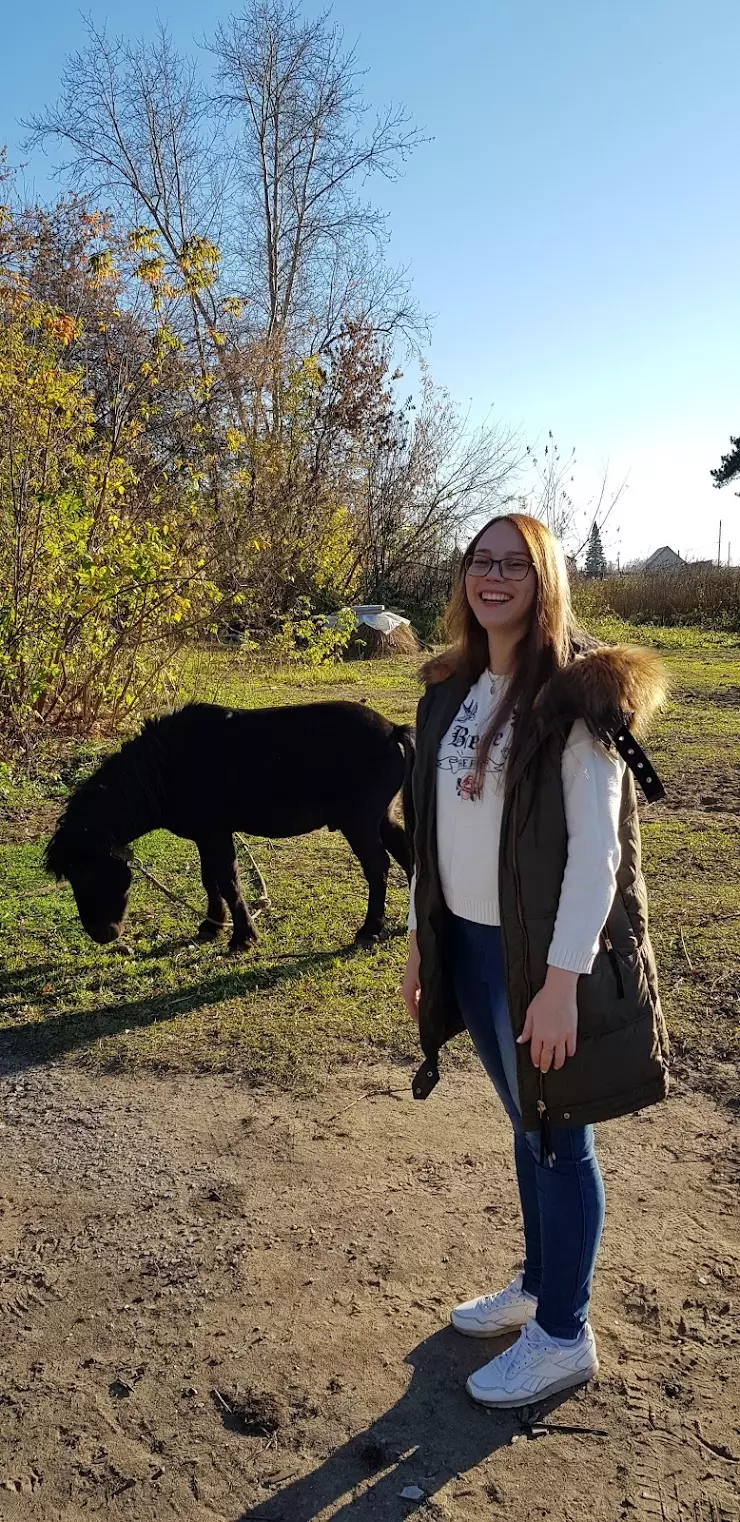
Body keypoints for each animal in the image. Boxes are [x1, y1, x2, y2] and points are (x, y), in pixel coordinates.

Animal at [44, 700, 417, 949]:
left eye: (88, 872)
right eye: (72, 876)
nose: (100, 934)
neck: (164, 769)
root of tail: (392, 731)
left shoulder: (214, 835)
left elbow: (228, 882)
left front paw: (243, 936)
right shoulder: (205, 837)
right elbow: (210, 880)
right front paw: (212, 925)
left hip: (359, 824)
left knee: (378, 867)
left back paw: (369, 930)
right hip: (382, 818)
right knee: (407, 857)